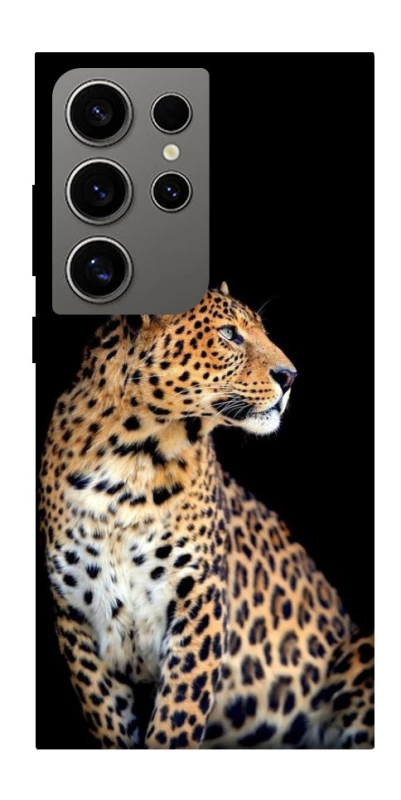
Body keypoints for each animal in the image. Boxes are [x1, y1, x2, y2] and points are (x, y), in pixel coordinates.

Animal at [39, 282, 374, 749]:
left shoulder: (200, 600)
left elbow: (176, 720)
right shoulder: (76, 618)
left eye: (262, 331)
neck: (128, 462)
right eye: (229, 333)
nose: (290, 376)